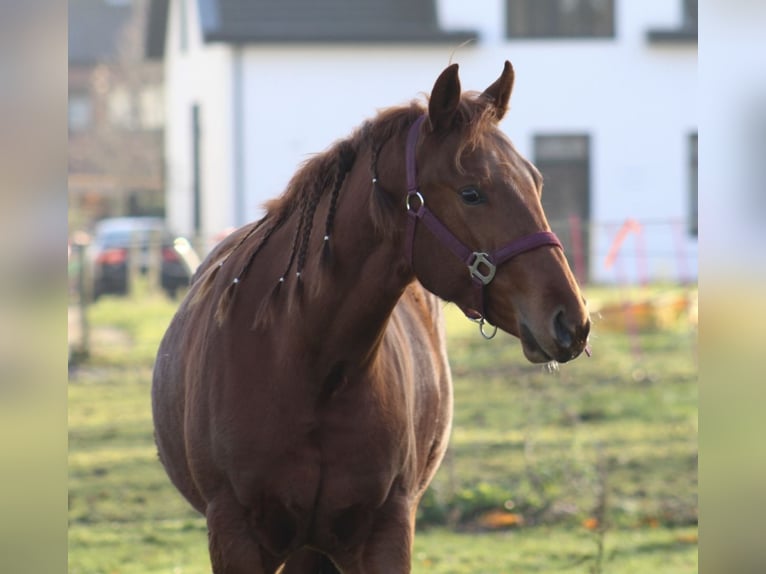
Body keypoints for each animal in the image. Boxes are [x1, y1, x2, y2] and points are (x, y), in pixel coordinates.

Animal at [153, 60, 592, 572]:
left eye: (535, 183)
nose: (572, 320)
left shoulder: (385, 531)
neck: (304, 364)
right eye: (471, 193)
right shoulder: (234, 534)